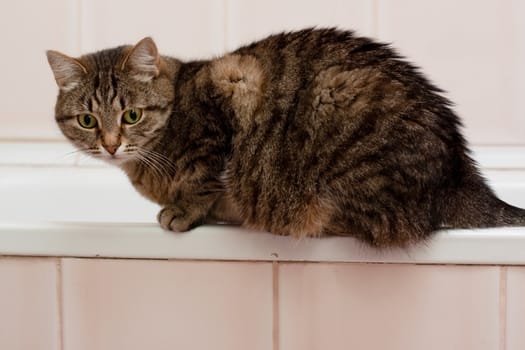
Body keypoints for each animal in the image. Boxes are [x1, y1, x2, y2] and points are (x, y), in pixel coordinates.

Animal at [45, 28, 524, 247]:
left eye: (131, 114)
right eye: (87, 120)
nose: (110, 144)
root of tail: (461, 176)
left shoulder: (230, 89)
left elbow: (203, 179)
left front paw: (184, 210)